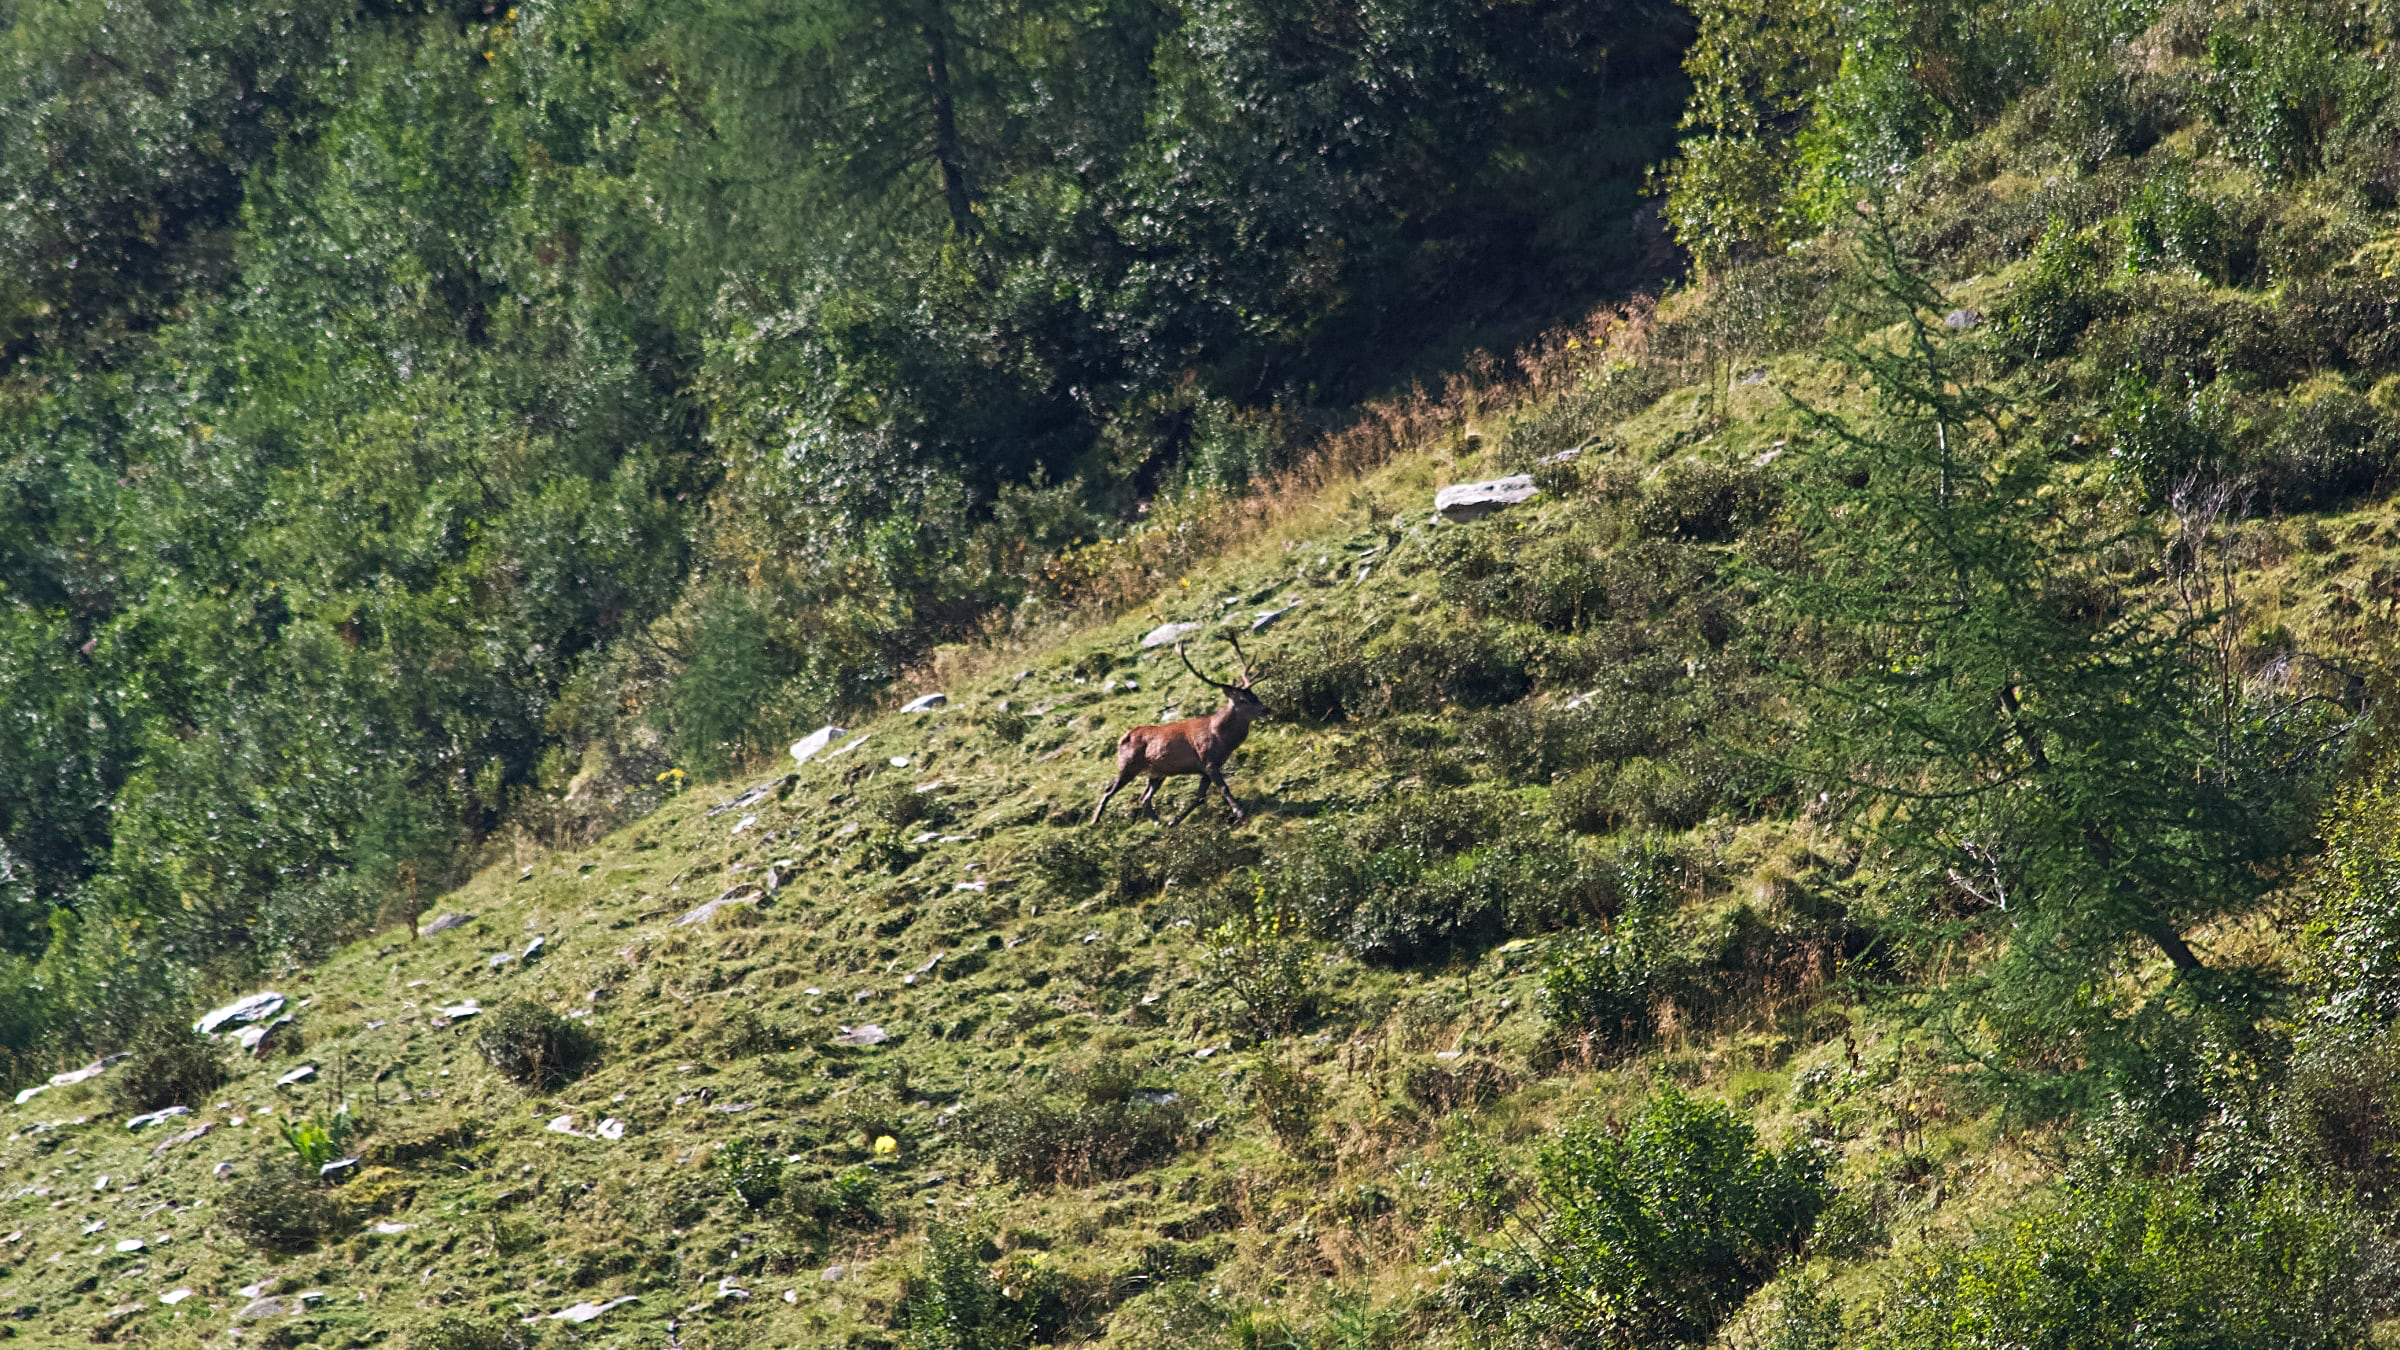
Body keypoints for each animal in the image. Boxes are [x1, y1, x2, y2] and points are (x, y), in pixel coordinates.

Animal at [1089, 634, 1272, 827]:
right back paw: (1094, 821)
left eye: (1254, 694)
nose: (1266, 709)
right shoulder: (1208, 761)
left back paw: (1158, 822)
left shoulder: (1207, 767)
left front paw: (1174, 821)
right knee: (1109, 789)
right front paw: (1239, 811)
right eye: (1243, 699)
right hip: (1127, 765)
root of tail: (1122, 737)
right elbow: (1223, 788)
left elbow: (1200, 797)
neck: (1222, 738)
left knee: (1144, 797)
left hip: (1157, 773)